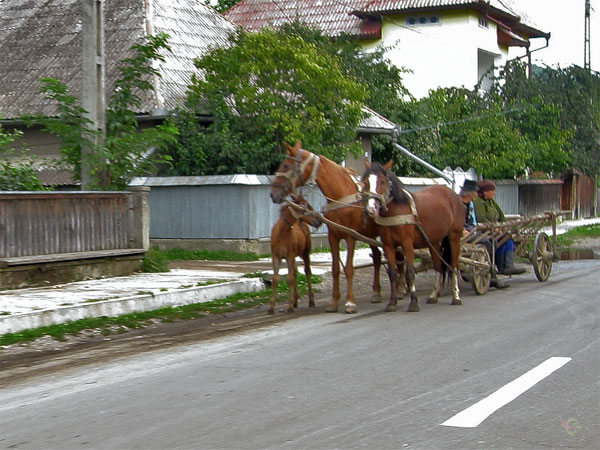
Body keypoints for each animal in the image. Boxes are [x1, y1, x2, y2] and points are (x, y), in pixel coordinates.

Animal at [270, 141, 384, 312]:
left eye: (285, 165)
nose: (272, 193)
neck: (341, 198)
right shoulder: (333, 237)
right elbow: (335, 269)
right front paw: (334, 302)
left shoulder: (350, 237)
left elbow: (349, 269)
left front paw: (350, 302)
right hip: (370, 236)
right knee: (377, 257)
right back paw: (377, 292)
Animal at [360, 162, 464, 312]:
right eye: (365, 182)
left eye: (383, 181)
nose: (371, 209)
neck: (395, 210)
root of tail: (453, 195)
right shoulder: (388, 245)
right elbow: (393, 273)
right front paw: (392, 303)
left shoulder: (407, 244)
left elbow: (409, 272)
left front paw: (413, 303)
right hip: (433, 241)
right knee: (438, 266)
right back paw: (434, 295)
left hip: (454, 237)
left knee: (453, 265)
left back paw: (456, 296)